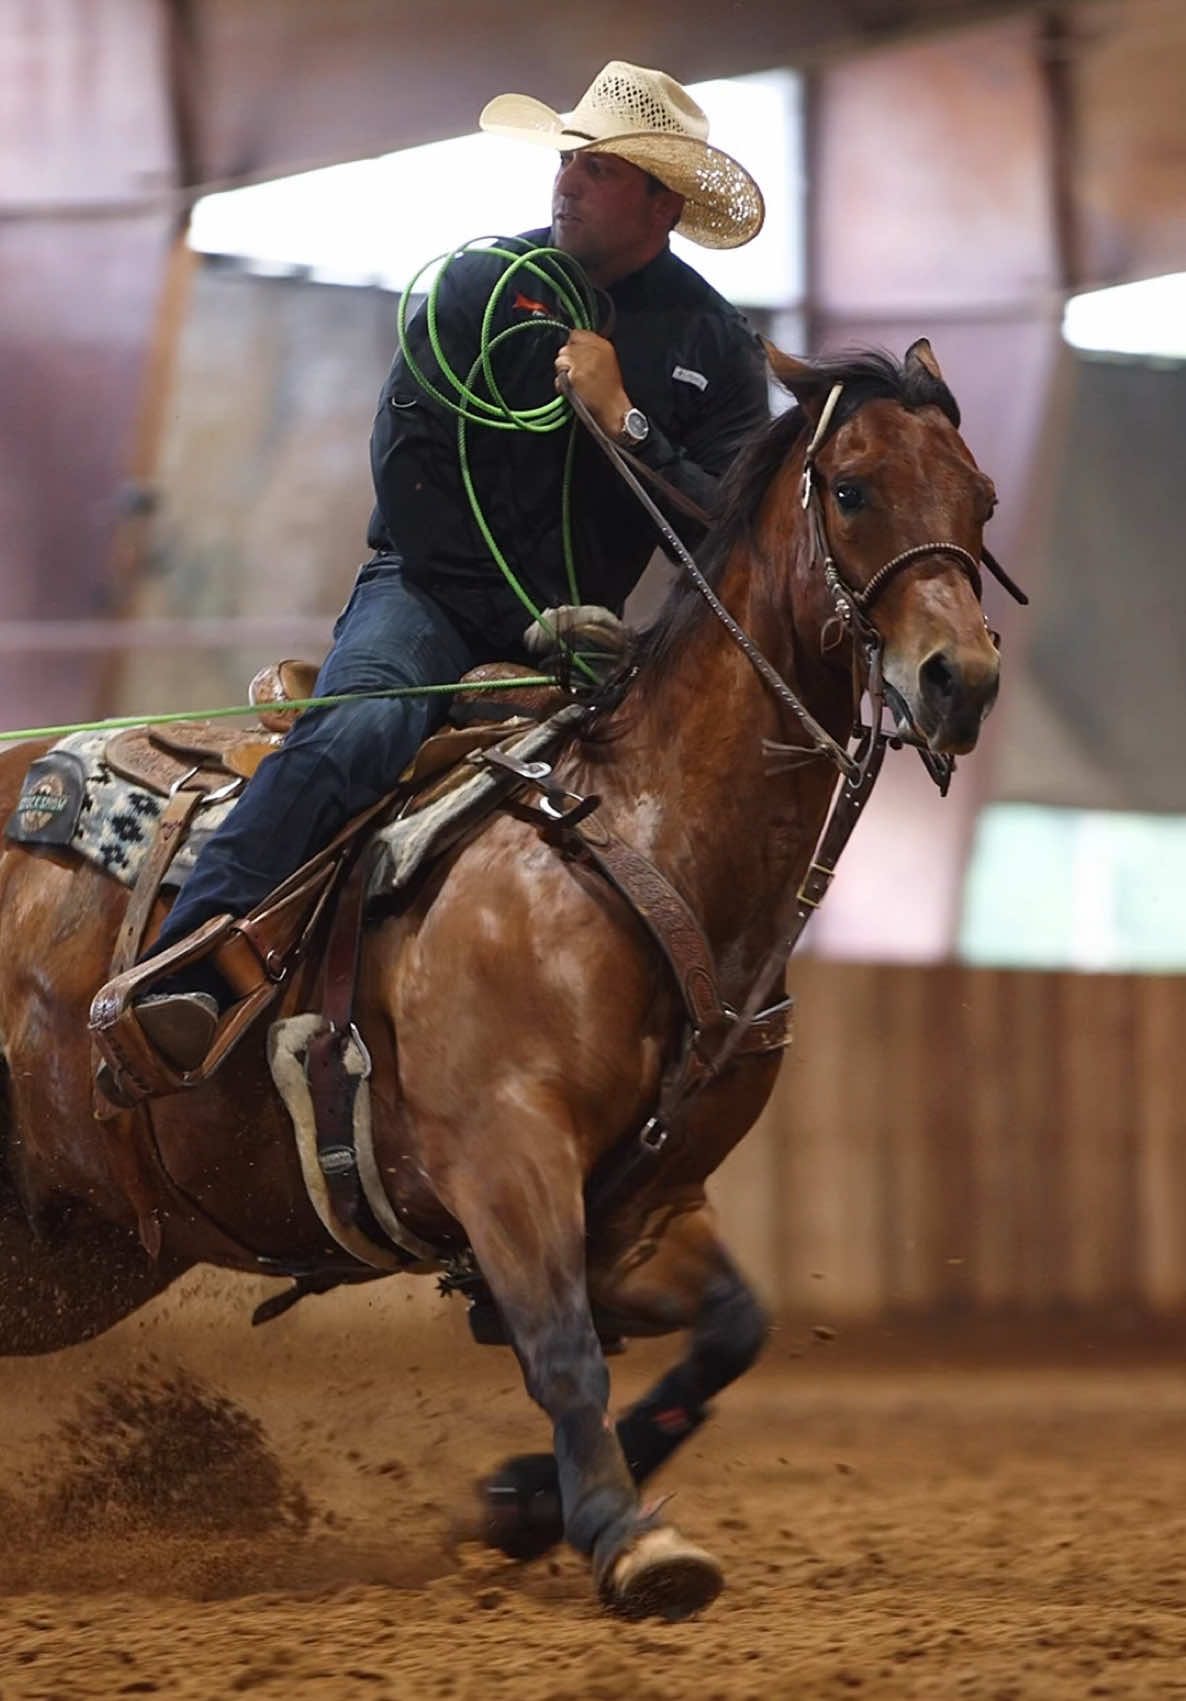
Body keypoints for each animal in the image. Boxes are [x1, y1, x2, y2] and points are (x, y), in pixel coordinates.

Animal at [0, 342, 1002, 1618]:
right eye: (854, 488)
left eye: (979, 501)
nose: (959, 680)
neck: (638, 830)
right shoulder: (504, 1155)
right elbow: (565, 1350)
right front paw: (629, 1539)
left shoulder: (642, 1203)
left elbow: (731, 1329)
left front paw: (523, 1503)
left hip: (73, 1250)